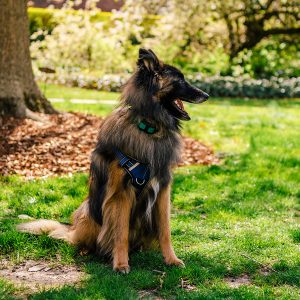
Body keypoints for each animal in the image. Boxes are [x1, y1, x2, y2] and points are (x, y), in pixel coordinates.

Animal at [16, 48, 209, 274]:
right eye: (179, 80)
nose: (206, 95)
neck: (149, 129)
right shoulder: (120, 194)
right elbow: (120, 233)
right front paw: (121, 264)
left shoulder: (162, 190)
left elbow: (165, 231)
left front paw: (171, 259)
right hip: (87, 211)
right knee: (73, 238)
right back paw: (86, 249)